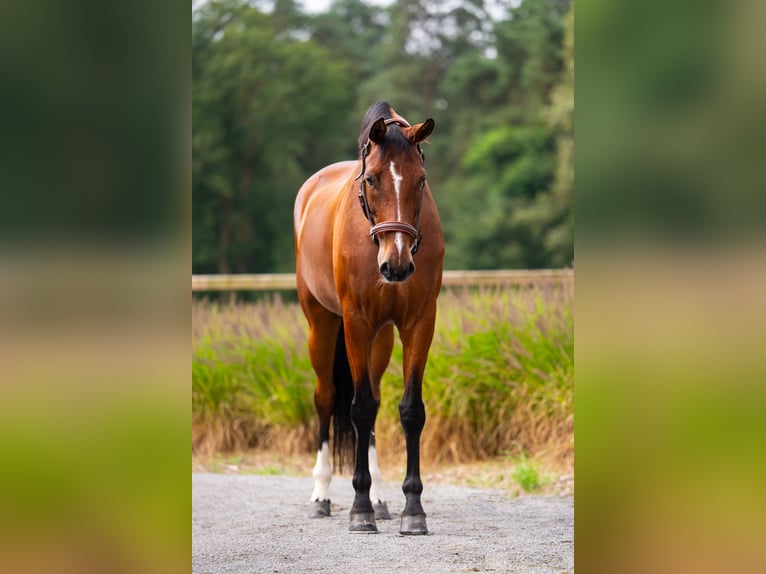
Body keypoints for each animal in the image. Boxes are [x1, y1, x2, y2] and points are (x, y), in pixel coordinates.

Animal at [296, 102, 450, 536]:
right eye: (372, 178)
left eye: (421, 180)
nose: (395, 265)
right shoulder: (356, 322)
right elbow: (359, 408)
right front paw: (359, 508)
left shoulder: (419, 322)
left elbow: (410, 410)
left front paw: (412, 509)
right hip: (322, 325)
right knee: (326, 398)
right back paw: (322, 496)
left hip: (381, 339)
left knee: (377, 401)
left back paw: (381, 499)